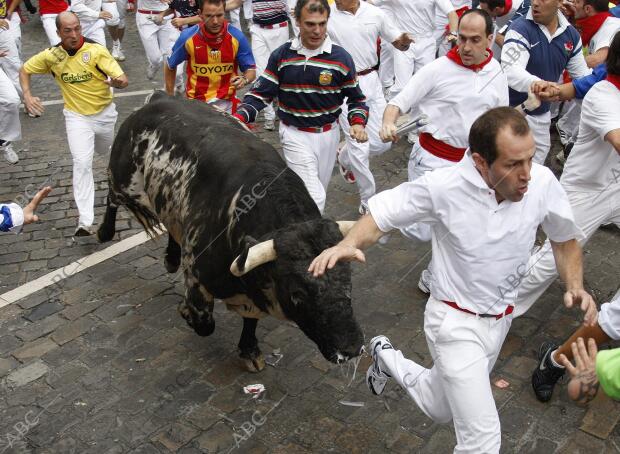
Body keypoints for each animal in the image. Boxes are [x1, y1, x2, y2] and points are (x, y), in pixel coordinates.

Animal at [97, 93, 364, 372]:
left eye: (348, 281)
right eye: (297, 294)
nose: (351, 348)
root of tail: (159, 97)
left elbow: (250, 320)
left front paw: (249, 350)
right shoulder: (197, 276)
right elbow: (204, 323)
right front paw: (185, 312)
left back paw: (170, 258)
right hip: (124, 181)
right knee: (112, 198)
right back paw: (104, 232)